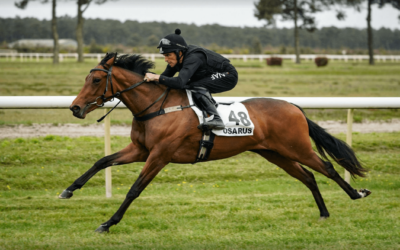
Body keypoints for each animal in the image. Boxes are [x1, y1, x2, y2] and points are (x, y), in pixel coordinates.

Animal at [60, 52, 372, 232]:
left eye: (96, 79)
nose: (75, 108)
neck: (157, 106)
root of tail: (295, 107)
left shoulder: (159, 155)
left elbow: (135, 189)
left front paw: (108, 223)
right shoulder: (140, 150)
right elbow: (102, 161)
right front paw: (68, 190)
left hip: (297, 147)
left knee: (327, 168)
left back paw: (356, 194)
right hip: (275, 153)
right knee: (308, 177)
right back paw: (323, 213)